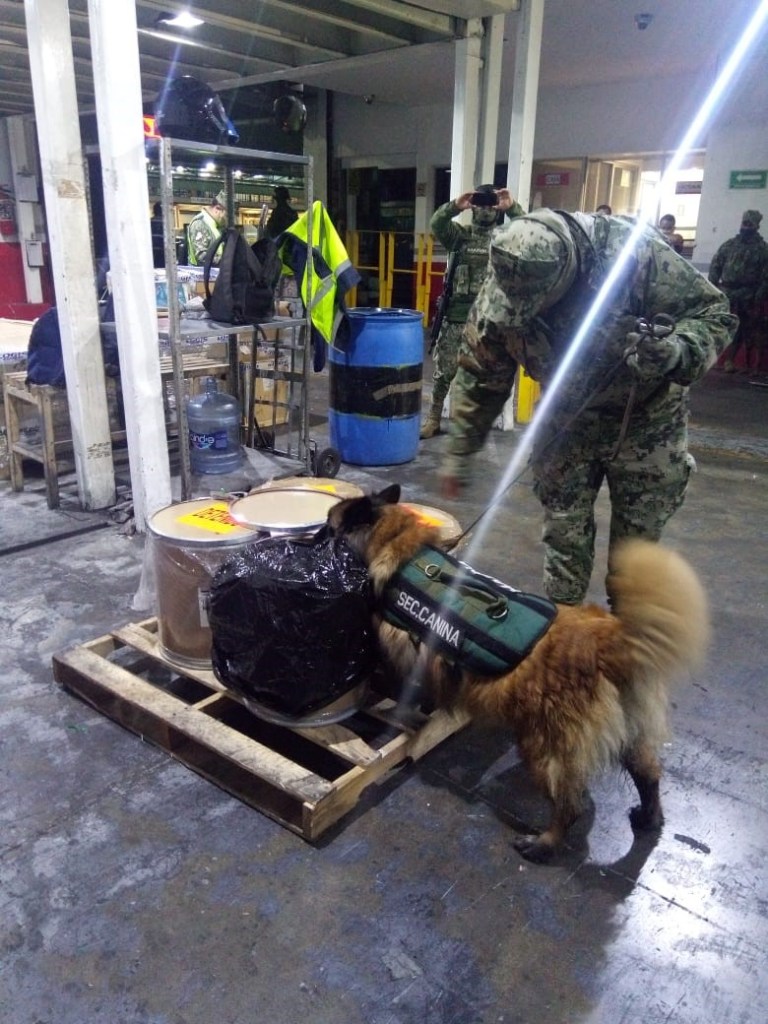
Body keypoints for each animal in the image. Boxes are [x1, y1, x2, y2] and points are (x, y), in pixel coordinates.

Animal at [327, 483, 710, 862]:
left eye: (327, 528)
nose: (316, 537)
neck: (400, 546)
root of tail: (609, 640)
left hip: (543, 749)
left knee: (570, 805)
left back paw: (544, 843)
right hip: (631, 733)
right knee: (649, 774)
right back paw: (649, 816)